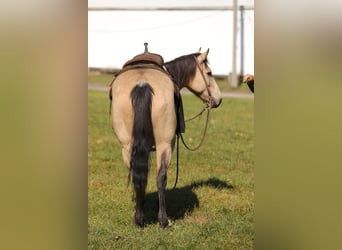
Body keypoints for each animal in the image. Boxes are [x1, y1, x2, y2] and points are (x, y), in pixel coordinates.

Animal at [109, 43, 222, 229]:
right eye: (209, 73)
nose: (218, 100)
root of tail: (142, 84)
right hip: (165, 144)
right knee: (161, 177)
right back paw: (163, 220)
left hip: (127, 146)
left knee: (138, 175)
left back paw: (139, 219)